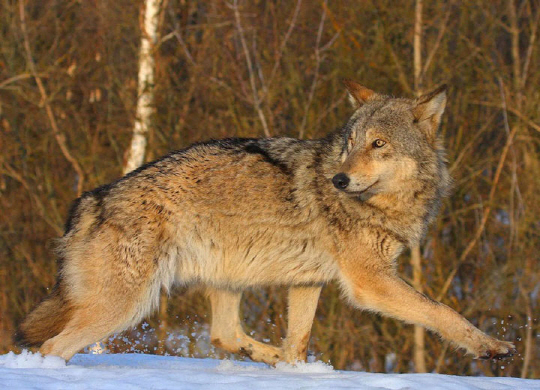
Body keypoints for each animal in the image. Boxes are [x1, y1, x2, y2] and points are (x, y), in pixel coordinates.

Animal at [15, 80, 516, 364]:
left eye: (378, 144)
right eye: (351, 143)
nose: (339, 179)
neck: (383, 204)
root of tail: (90, 200)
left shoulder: (307, 282)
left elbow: (299, 339)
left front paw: (295, 366)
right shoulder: (369, 281)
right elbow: (442, 311)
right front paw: (491, 346)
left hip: (225, 280)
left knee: (225, 335)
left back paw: (278, 361)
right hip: (126, 306)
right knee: (52, 347)